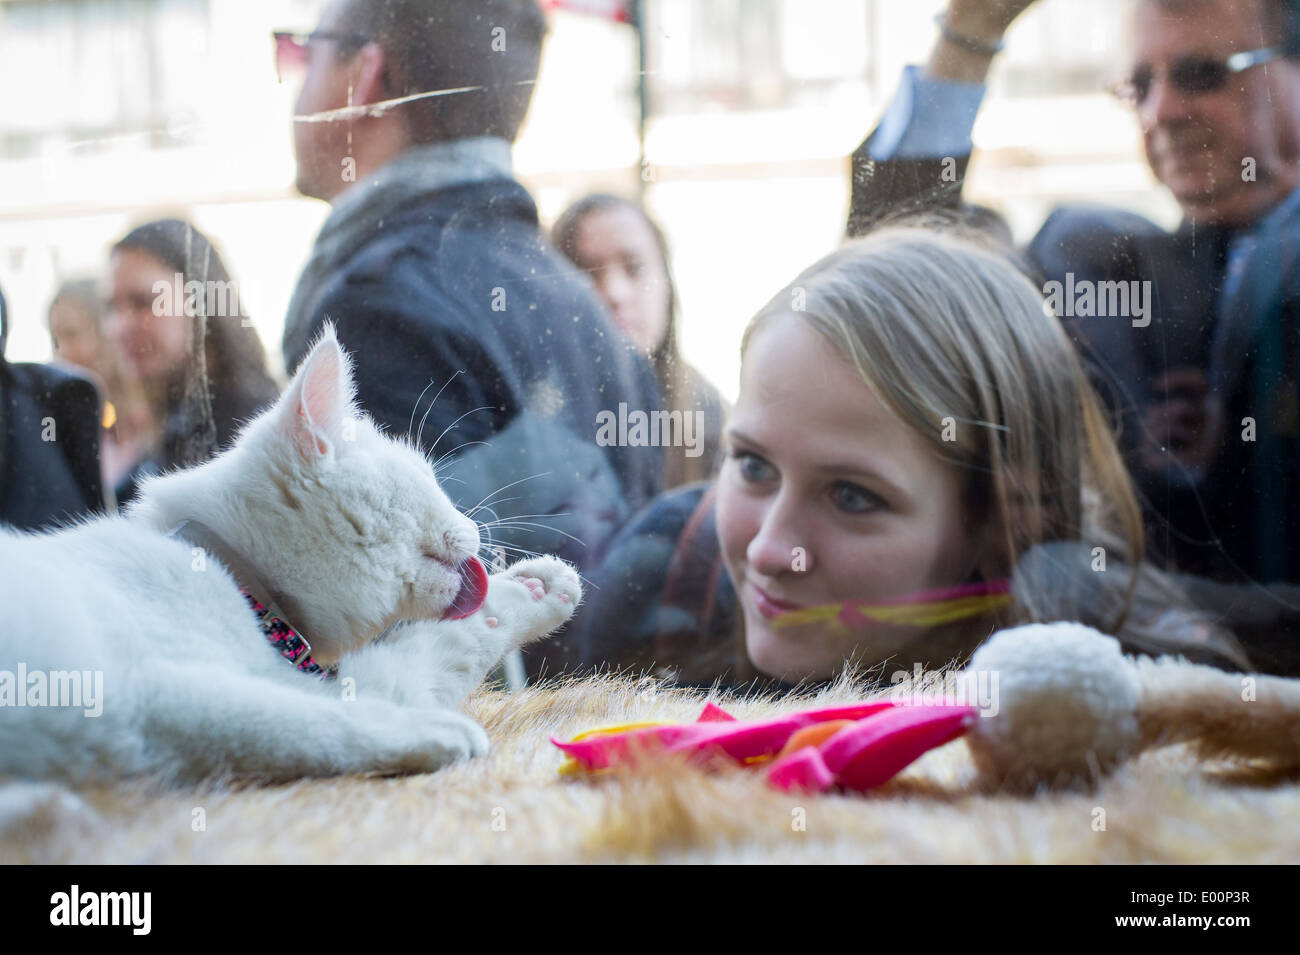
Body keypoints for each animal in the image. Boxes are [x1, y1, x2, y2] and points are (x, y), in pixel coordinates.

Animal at [0, 328, 582, 784]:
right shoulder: (145, 695)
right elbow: (330, 715)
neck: (239, 579)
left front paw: (534, 587)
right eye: (425, 476)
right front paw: (439, 730)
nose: (475, 525)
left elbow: (448, 644)